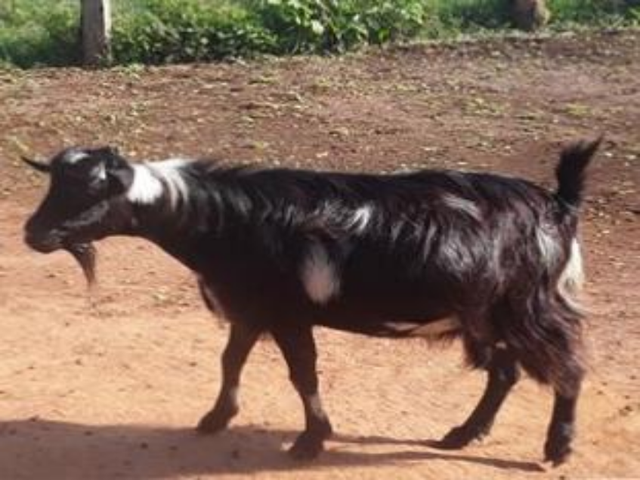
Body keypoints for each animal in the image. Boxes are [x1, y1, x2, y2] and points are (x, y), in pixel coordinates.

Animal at [23, 139, 601, 465]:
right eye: (54, 184)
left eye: (92, 192)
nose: (34, 234)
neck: (226, 222)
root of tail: (558, 202)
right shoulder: (250, 307)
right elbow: (230, 360)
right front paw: (216, 417)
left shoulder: (286, 313)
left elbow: (302, 373)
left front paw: (311, 440)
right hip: (485, 317)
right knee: (504, 373)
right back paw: (462, 435)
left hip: (528, 307)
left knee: (568, 368)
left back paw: (557, 447)